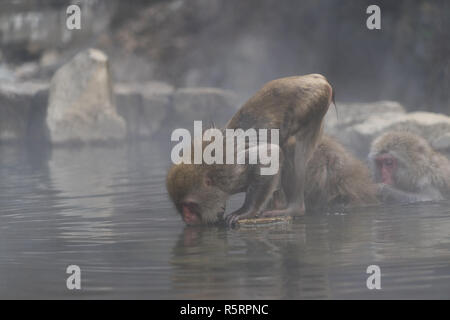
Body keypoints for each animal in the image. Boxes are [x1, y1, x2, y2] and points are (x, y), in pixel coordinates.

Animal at [167, 74, 332, 226]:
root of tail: (315, 77)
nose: (186, 218)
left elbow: (269, 155)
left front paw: (245, 212)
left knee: (292, 144)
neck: (217, 182)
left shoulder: (231, 173)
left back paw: (294, 208)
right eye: (181, 207)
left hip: (313, 100)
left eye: (189, 206)